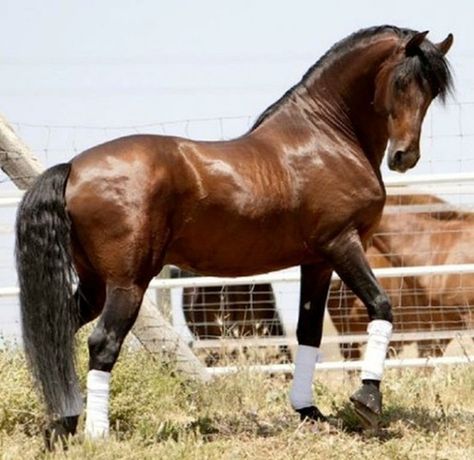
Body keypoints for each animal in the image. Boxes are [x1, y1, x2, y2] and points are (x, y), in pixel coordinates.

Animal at [13, 26, 452, 446]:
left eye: (431, 91)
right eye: (401, 82)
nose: (404, 157)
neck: (326, 137)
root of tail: (73, 167)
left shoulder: (317, 261)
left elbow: (308, 332)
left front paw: (309, 412)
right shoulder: (343, 245)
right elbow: (381, 306)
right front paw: (367, 401)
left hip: (95, 284)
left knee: (58, 331)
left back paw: (63, 425)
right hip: (127, 284)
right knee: (102, 343)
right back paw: (96, 434)